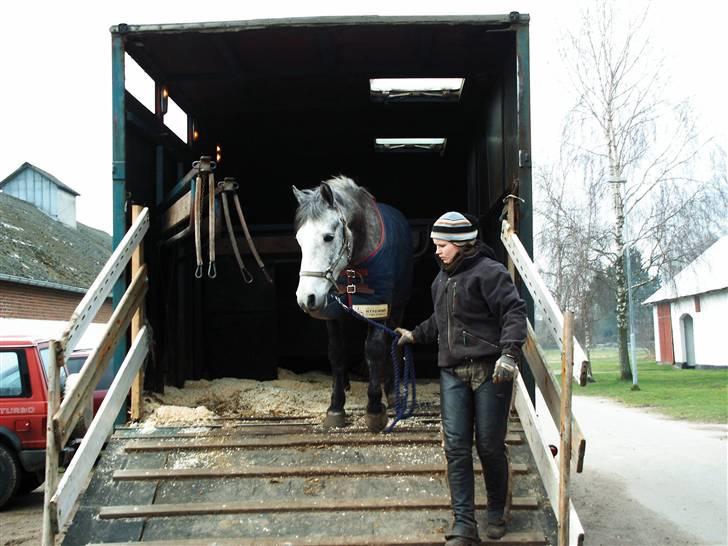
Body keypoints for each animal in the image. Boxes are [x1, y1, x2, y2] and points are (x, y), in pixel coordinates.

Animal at [292, 174, 416, 430]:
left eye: (328, 237)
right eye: (299, 240)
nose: (306, 298)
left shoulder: (379, 308)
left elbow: (375, 350)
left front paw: (375, 409)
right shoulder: (332, 313)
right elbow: (336, 353)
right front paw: (336, 406)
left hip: (397, 308)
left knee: (392, 342)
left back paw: (391, 391)